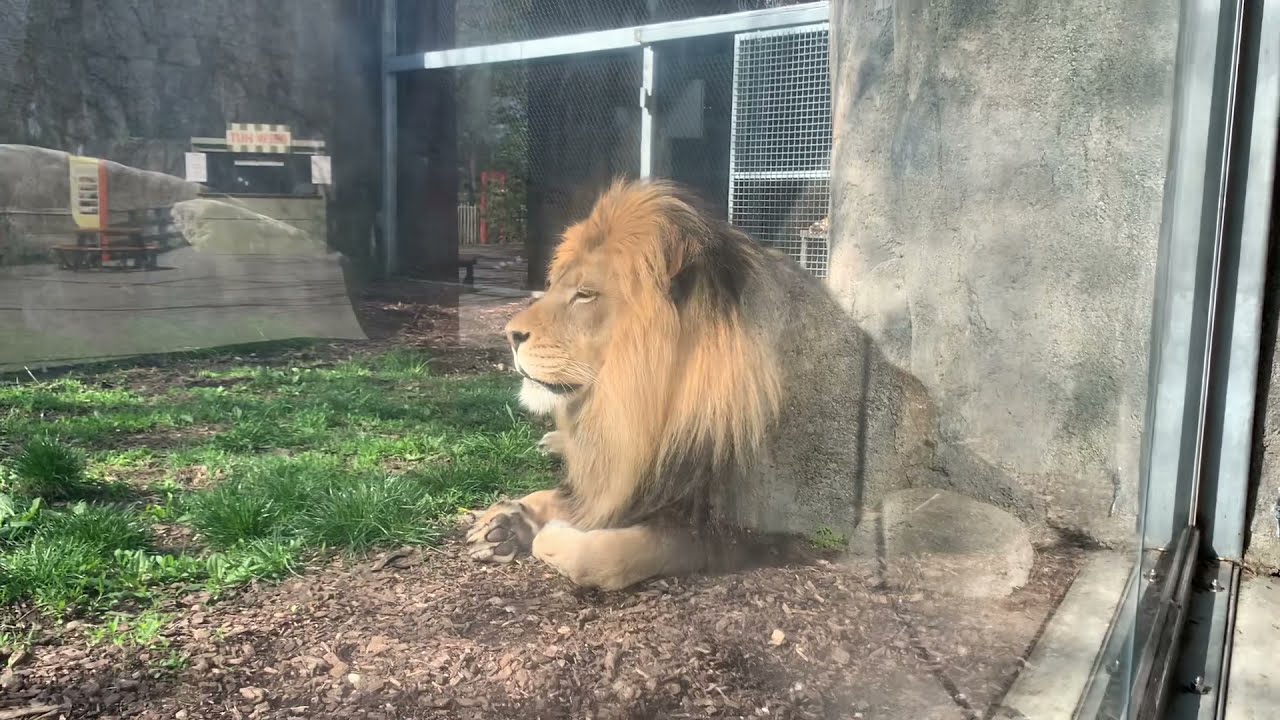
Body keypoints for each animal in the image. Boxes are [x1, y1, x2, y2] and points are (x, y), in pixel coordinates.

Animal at [468, 176, 942, 586]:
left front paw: (547, 535)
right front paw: (507, 521)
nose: (510, 334)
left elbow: (620, 553)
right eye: (552, 285)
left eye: (585, 294)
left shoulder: (787, 531)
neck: (651, 412)